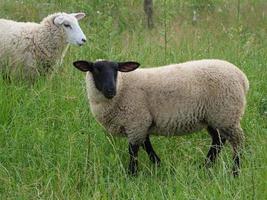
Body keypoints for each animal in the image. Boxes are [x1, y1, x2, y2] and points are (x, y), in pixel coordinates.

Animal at [73, 58, 249, 176]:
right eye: (96, 70)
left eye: (117, 70)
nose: (110, 90)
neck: (122, 88)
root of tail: (242, 77)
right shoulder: (141, 123)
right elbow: (147, 146)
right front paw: (159, 165)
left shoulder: (136, 121)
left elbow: (133, 150)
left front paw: (132, 174)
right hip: (213, 117)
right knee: (218, 140)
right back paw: (205, 167)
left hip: (227, 113)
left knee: (237, 142)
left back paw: (234, 172)